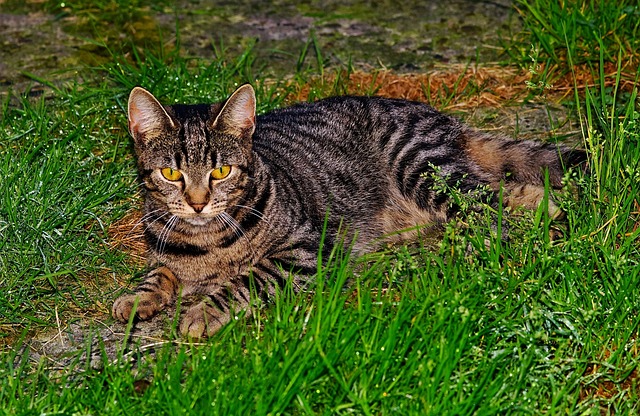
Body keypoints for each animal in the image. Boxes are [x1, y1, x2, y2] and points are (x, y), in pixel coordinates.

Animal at [111, 84, 584, 338]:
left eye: (221, 170)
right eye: (171, 173)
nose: (197, 202)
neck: (206, 241)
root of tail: (443, 118)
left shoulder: (306, 249)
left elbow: (247, 279)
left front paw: (203, 312)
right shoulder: (165, 251)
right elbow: (159, 273)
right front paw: (138, 298)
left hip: (422, 168)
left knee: (484, 206)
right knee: (497, 189)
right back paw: (541, 204)